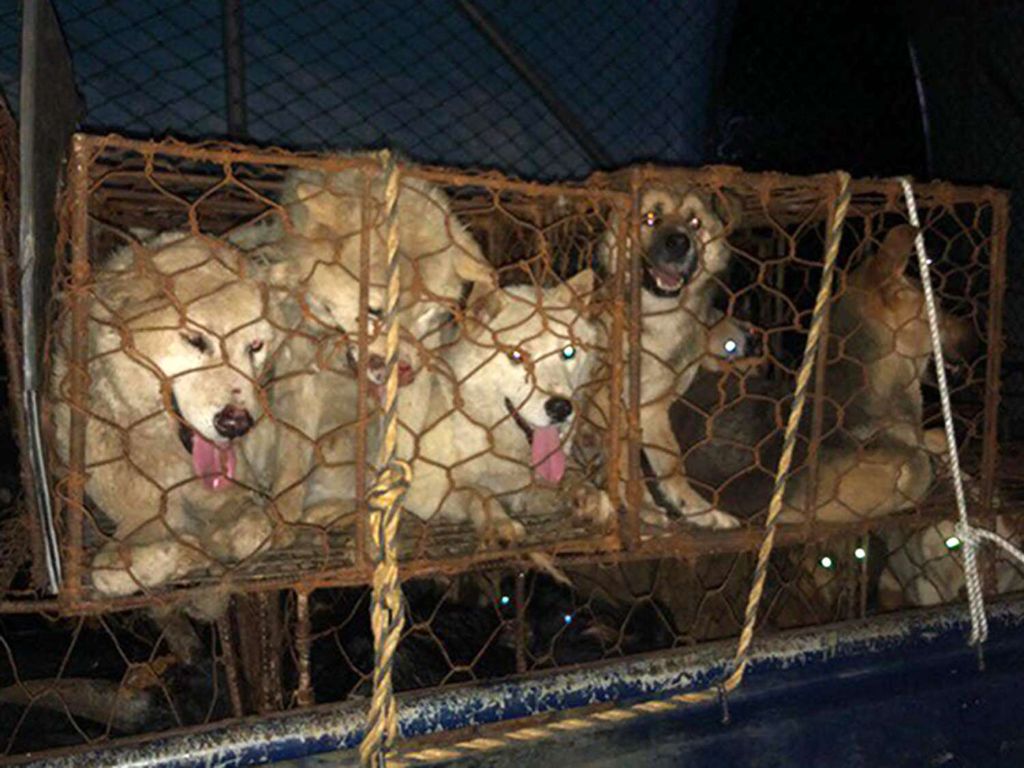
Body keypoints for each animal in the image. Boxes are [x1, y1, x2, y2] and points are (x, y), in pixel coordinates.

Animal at [48, 233, 280, 593]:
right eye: (195, 340)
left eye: (254, 346)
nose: (235, 424)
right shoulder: (138, 520)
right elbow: (111, 573)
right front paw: (194, 551)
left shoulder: (235, 494)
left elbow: (254, 530)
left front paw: (215, 541)